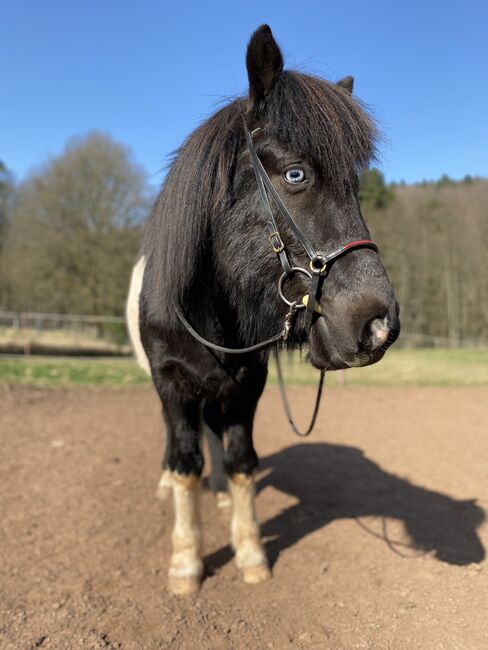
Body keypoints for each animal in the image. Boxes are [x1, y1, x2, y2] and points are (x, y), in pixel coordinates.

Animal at [127, 25, 398, 592]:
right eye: (295, 175)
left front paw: (250, 550)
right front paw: (185, 562)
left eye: (357, 185)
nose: (378, 324)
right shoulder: (171, 383)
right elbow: (184, 460)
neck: (207, 314)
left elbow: (241, 460)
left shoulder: (245, 386)